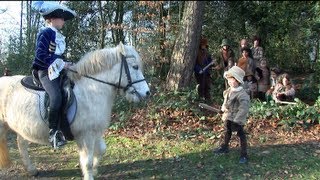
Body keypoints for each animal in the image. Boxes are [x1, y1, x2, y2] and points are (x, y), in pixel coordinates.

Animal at [0, 43, 149, 179]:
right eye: (135, 67)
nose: (147, 92)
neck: (91, 89)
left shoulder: (95, 131)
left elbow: (101, 150)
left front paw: (95, 170)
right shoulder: (85, 134)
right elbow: (87, 162)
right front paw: (89, 175)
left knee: (21, 143)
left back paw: (31, 170)